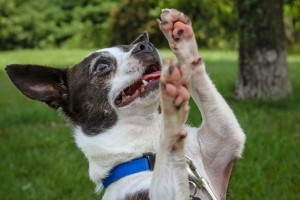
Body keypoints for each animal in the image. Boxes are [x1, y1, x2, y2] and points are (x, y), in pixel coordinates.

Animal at [5, 8, 245, 199]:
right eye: (102, 66)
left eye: (130, 46)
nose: (145, 45)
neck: (147, 149)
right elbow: (170, 144)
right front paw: (171, 109)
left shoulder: (226, 140)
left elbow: (200, 78)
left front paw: (181, 38)